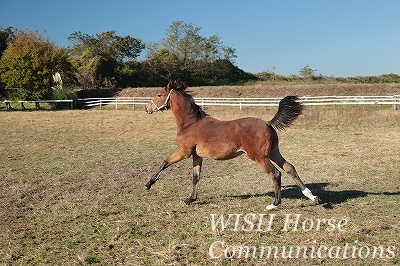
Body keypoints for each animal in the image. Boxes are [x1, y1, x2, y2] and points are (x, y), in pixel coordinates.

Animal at [145, 80, 318, 209]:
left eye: (159, 94)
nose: (147, 108)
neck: (190, 124)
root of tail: (268, 123)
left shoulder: (183, 152)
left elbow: (165, 162)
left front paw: (148, 184)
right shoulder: (196, 155)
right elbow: (196, 177)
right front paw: (191, 199)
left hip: (260, 157)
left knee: (276, 174)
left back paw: (274, 204)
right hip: (274, 152)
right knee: (290, 168)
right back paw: (312, 196)